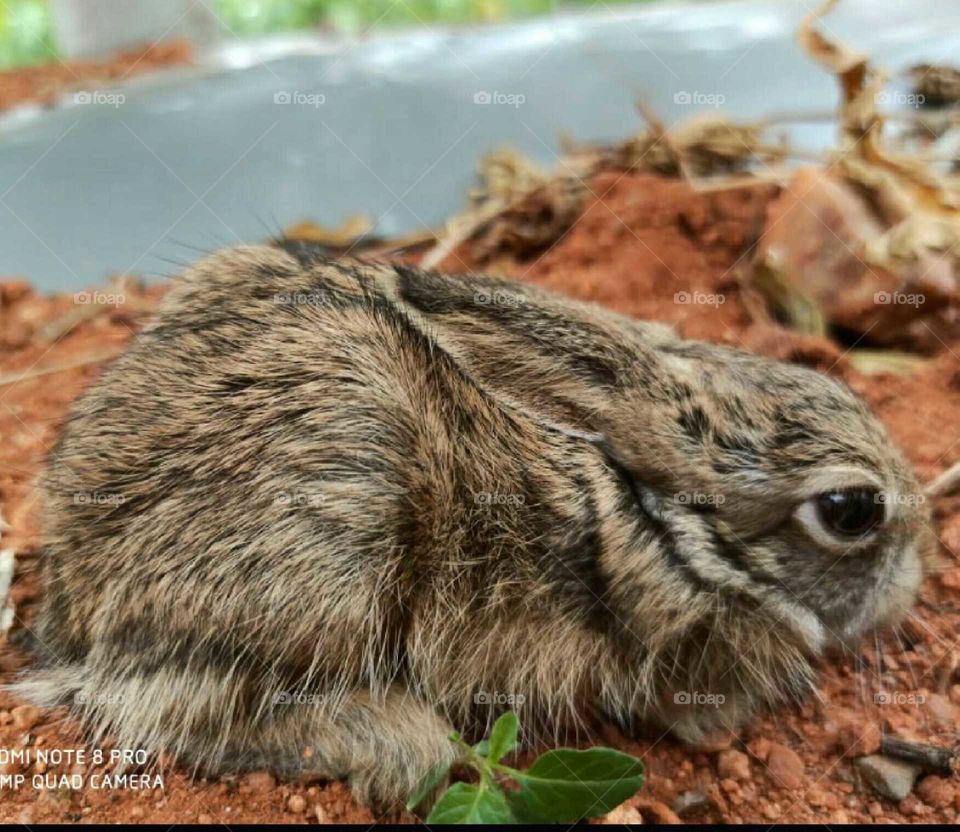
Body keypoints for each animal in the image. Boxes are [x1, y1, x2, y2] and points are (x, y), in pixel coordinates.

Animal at [13, 243, 935, 809]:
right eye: (852, 512)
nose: (915, 581)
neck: (667, 524)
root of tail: (68, 608)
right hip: (328, 551)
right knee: (190, 711)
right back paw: (398, 740)